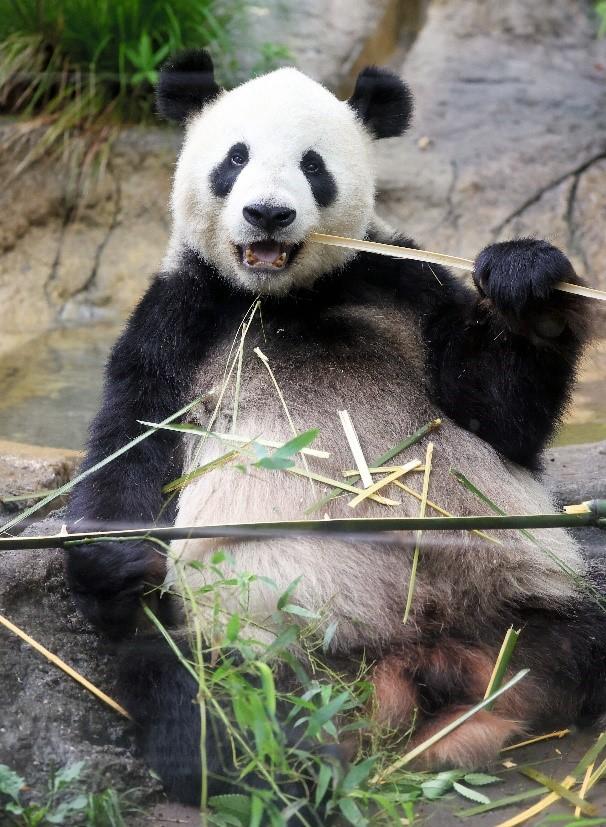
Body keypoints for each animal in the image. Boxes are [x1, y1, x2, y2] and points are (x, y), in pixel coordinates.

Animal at [66, 50, 606, 816]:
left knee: (579, 639)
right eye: (235, 158)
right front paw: (114, 558)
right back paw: (288, 769)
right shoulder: (180, 316)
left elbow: (496, 413)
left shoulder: (398, 278)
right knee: (204, 702)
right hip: (252, 641)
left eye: (313, 165)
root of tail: (409, 661)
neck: (286, 297)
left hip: (527, 591)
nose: (268, 213)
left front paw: (527, 283)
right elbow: (135, 440)